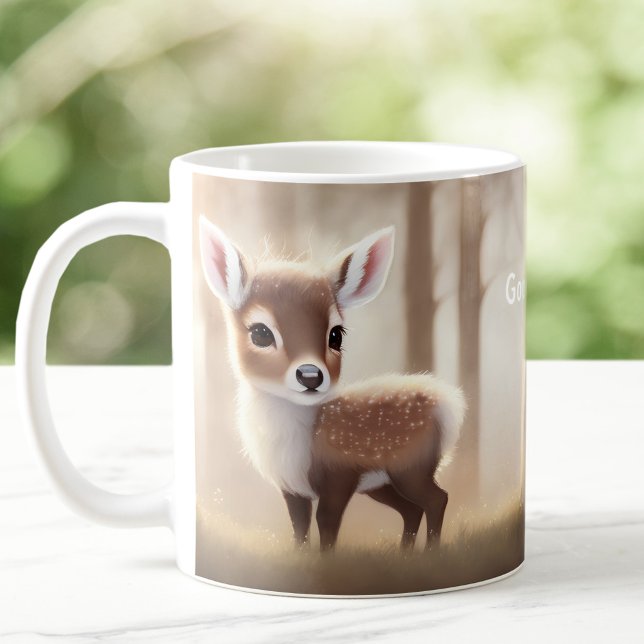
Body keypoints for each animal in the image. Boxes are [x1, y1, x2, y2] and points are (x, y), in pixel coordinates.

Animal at [199, 217, 466, 552]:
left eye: (336, 335)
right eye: (260, 333)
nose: (310, 375)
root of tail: (449, 406)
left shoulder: (340, 475)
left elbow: (326, 523)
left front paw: (326, 560)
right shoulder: (292, 487)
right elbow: (299, 526)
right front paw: (301, 557)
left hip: (410, 466)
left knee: (436, 499)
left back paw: (430, 552)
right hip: (383, 482)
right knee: (412, 509)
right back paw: (405, 554)